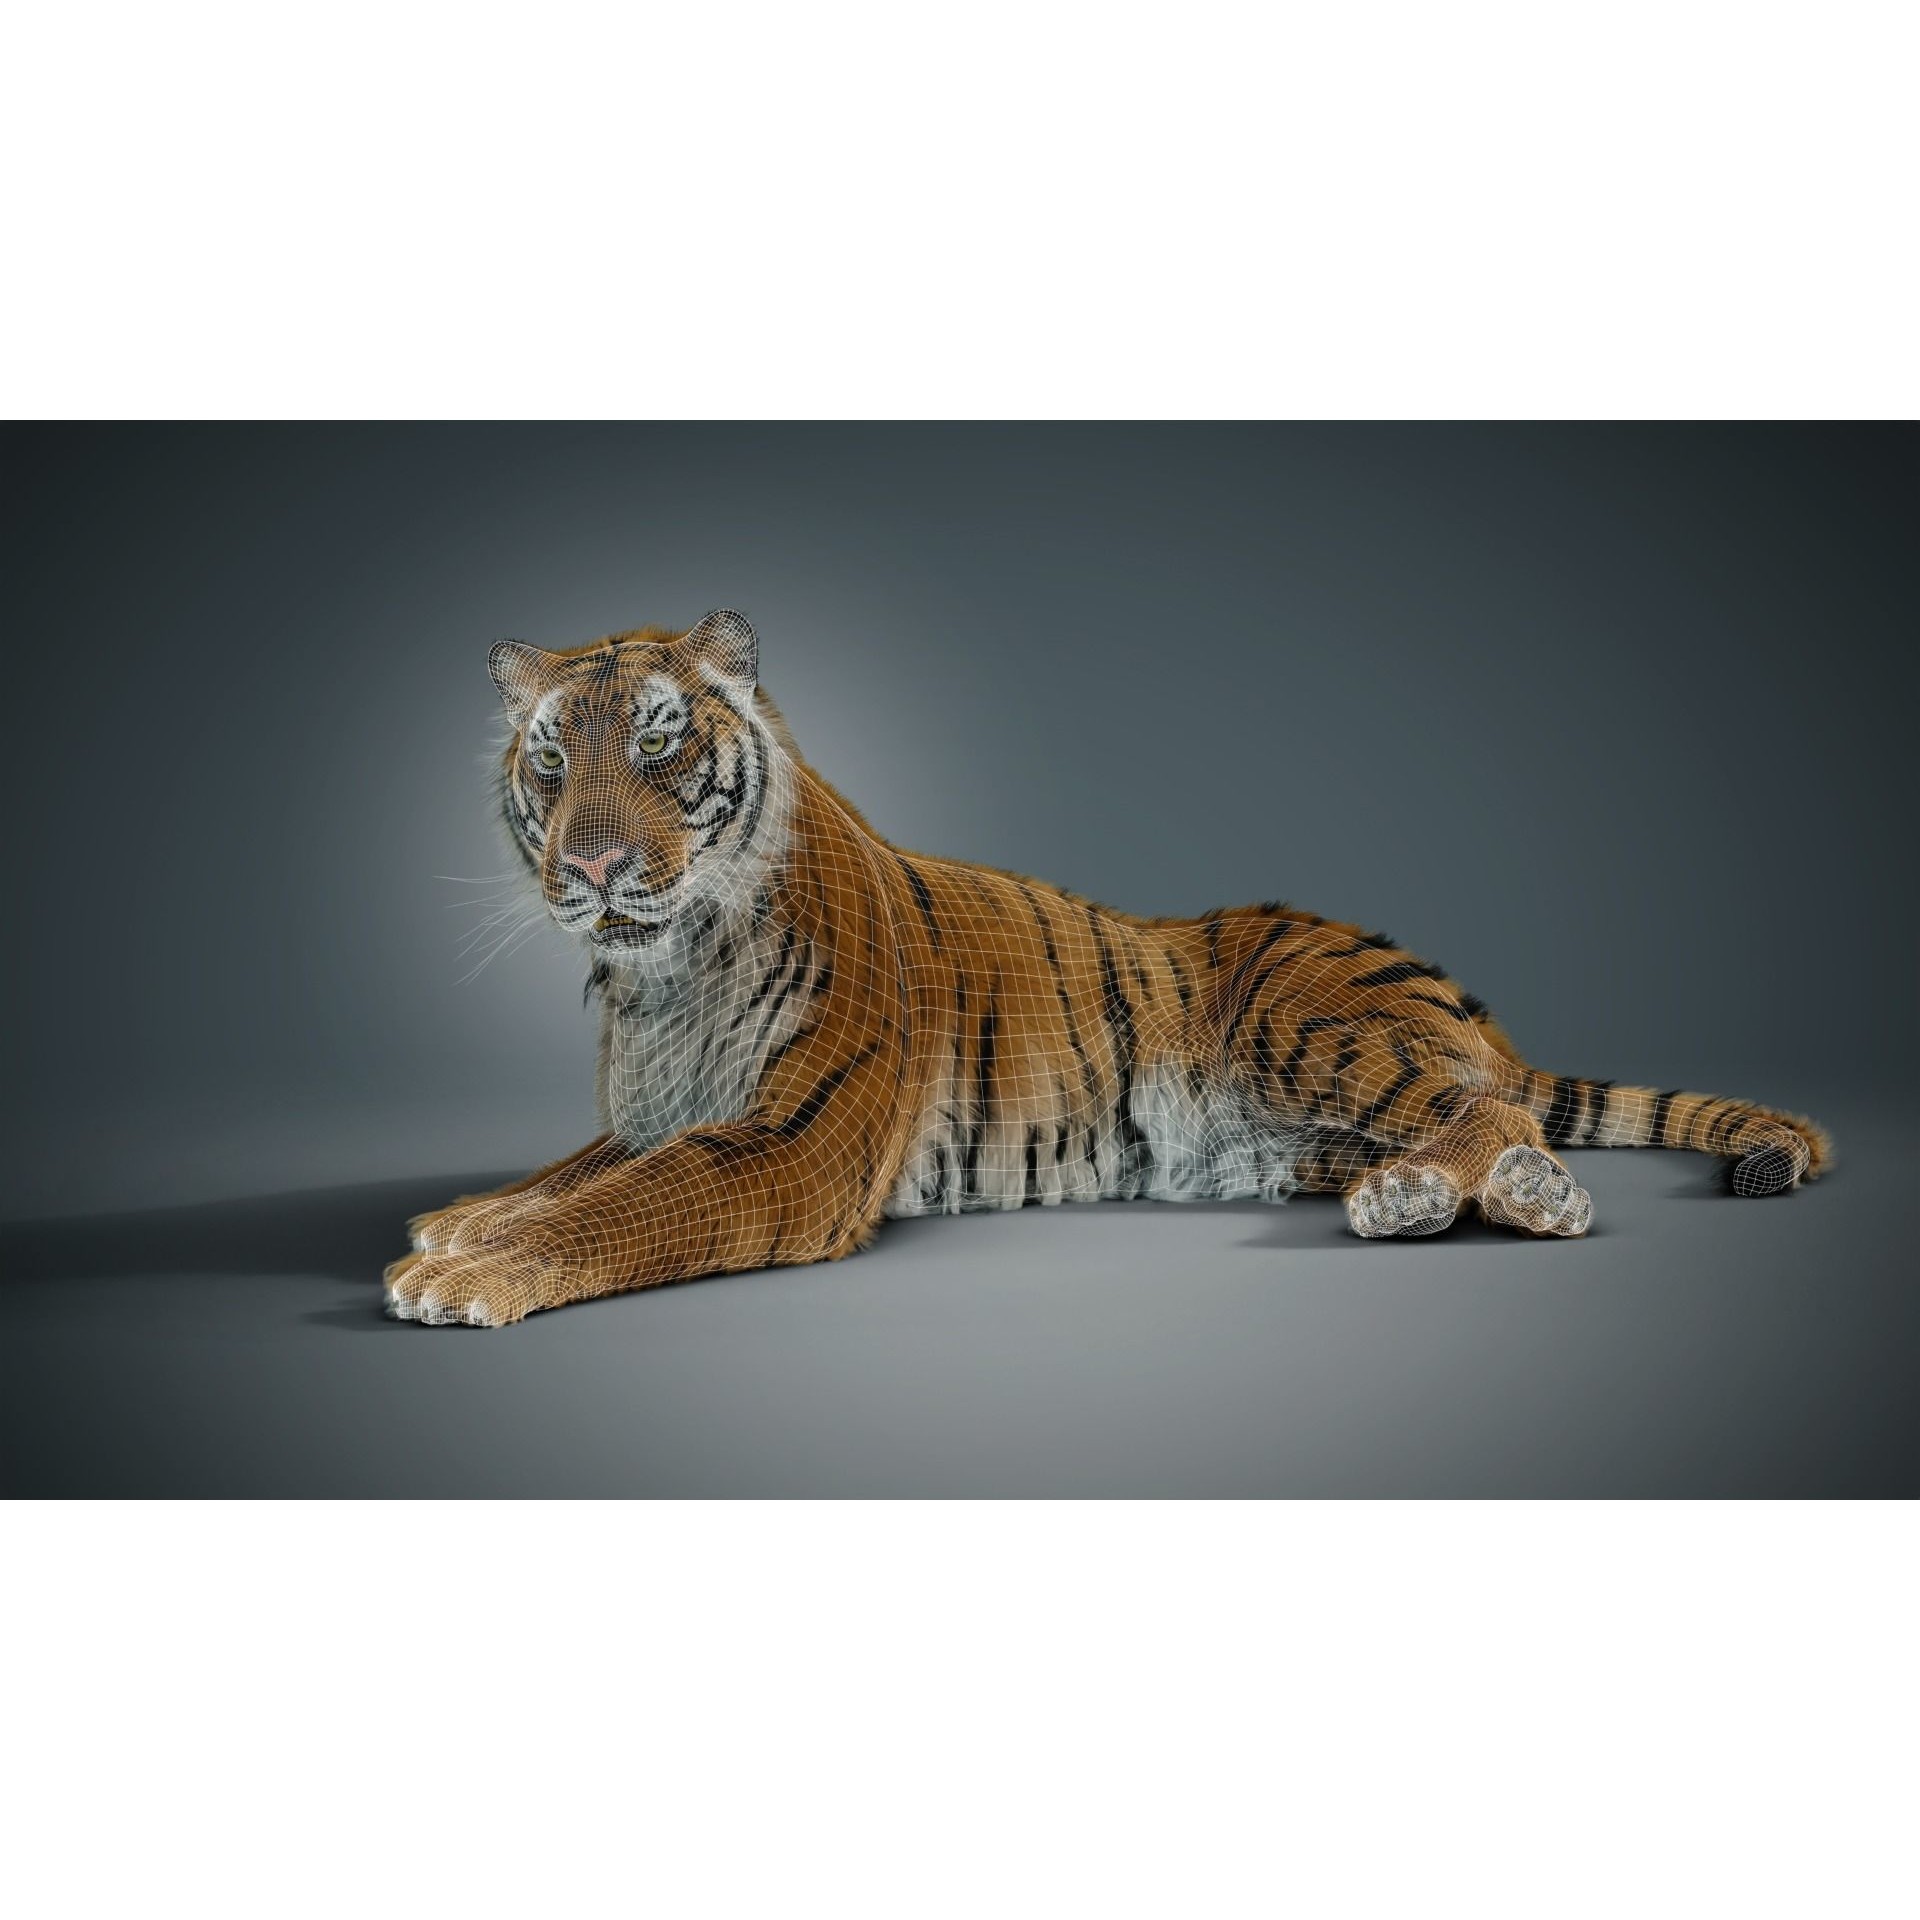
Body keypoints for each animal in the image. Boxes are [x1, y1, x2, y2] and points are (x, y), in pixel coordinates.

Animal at [385, 610, 1831, 1328]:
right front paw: (464, 1220)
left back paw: (1481, 1192)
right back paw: (1441, 1198)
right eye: (552, 758)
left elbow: (627, 1205)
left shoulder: (797, 1141)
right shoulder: (663, 1111)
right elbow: (575, 1172)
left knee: (1499, 1108)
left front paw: (460, 1275)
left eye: (662, 744)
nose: (591, 869)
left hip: (1304, 1025)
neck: (666, 978)